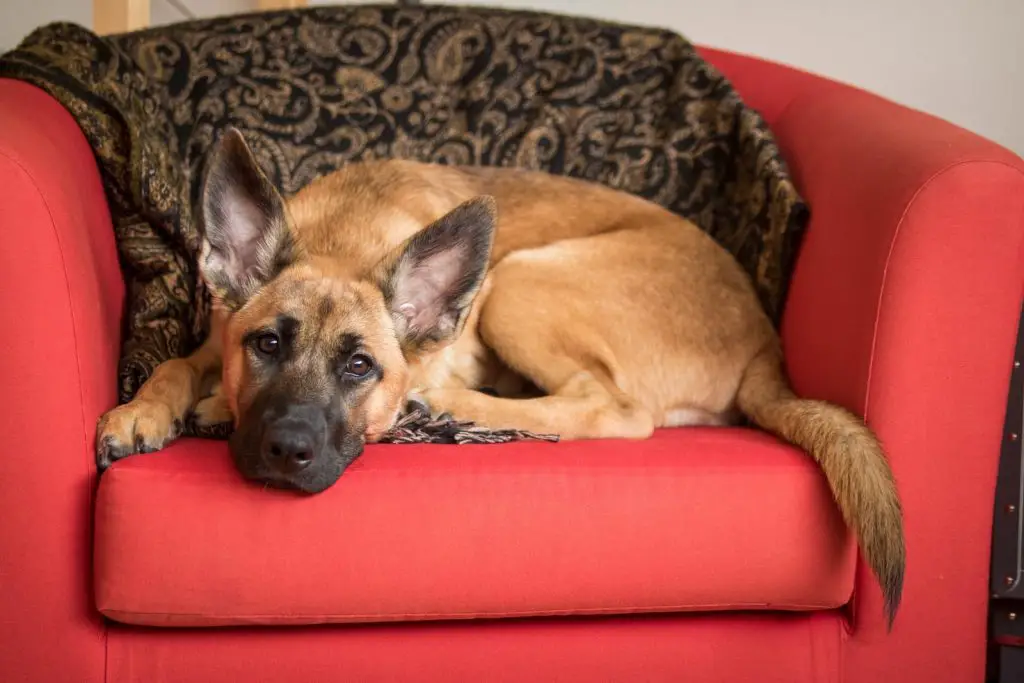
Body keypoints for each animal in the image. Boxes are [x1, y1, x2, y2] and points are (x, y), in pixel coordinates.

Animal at [96, 127, 909, 630]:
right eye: (266, 344)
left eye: (360, 366)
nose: (286, 450)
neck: (346, 239)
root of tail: (767, 340)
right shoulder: (218, 335)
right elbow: (176, 361)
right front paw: (144, 409)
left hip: (520, 280)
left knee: (613, 411)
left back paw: (452, 403)